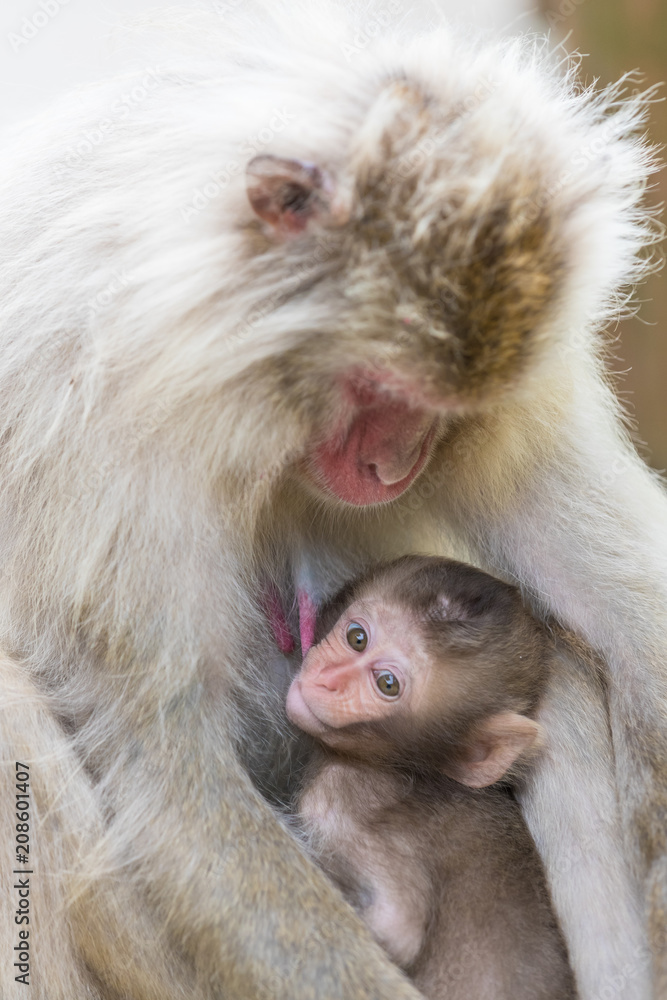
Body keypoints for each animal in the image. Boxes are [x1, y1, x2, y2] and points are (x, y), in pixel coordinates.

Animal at [290, 556, 576, 1000]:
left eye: (387, 684)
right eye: (357, 638)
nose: (327, 678)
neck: (403, 768)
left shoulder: (341, 797)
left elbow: (399, 926)